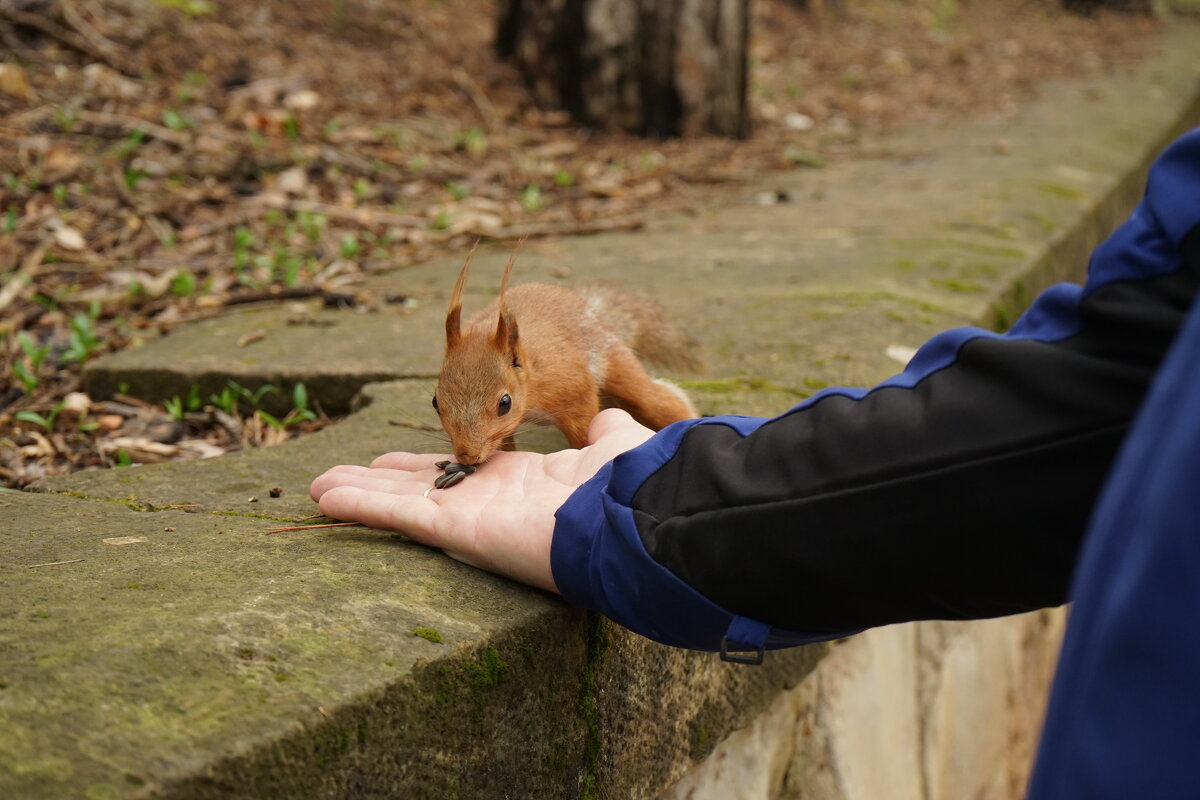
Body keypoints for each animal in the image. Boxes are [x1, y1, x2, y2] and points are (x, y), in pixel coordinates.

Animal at [434, 242, 700, 462]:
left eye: (505, 403)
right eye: (436, 402)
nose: (467, 456)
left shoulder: (574, 389)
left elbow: (584, 429)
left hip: (615, 359)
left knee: (655, 399)